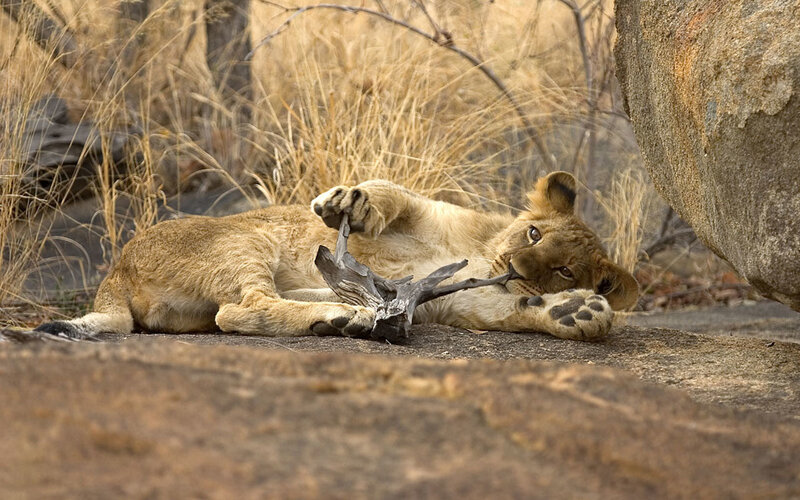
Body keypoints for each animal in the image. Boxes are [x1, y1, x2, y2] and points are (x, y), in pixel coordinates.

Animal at [36, 171, 638, 341]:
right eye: (534, 233)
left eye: (564, 269)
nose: (517, 268)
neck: (482, 253)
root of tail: (114, 270)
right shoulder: (432, 210)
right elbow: (394, 193)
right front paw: (350, 202)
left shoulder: (466, 302)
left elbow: (518, 309)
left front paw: (576, 311)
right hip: (242, 241)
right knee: (240, 309)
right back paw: (346, 316)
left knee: (239, 310)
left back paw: (345, 316)